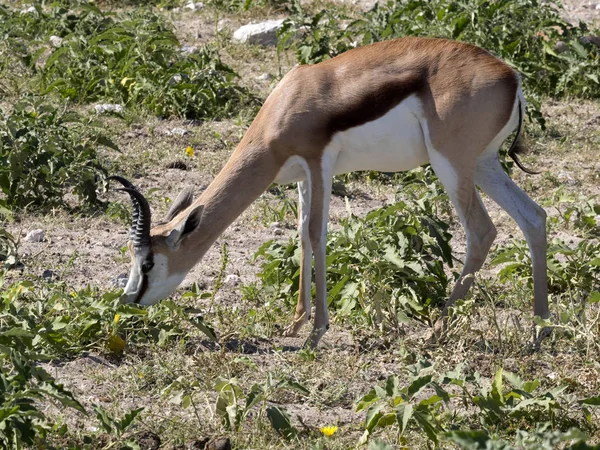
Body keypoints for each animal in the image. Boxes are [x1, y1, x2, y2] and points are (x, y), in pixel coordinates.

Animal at [111, 37, 548, 348]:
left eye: (148, 262)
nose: (128, 299)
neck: (285, 105)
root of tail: (511, 77)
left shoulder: (319, 163)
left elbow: (318, 234)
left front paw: (316, 333)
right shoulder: (303, 177)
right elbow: (302, 236)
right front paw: (295, 323)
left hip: (451, 165)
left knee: (482, 231)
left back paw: (435, 331)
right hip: (484, 164)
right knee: (534, 217)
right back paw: (540, 330)